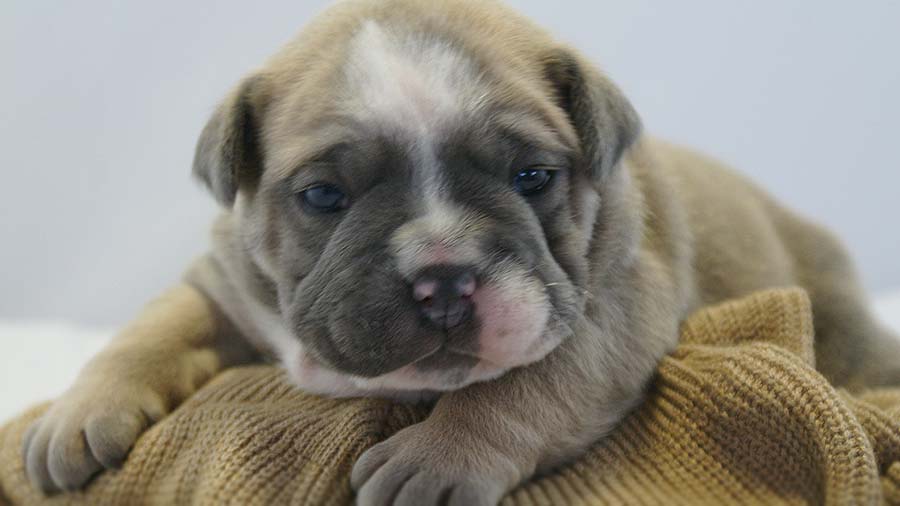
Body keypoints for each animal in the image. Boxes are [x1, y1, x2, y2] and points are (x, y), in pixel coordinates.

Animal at [22, 0, 900, 506]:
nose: (443, 278)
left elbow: (531, 384)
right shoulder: (222, 281)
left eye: (533, 177)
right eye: (323, 196)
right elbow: (153, 327)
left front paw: (441, 456)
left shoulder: (610, 306)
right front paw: (79, 411)